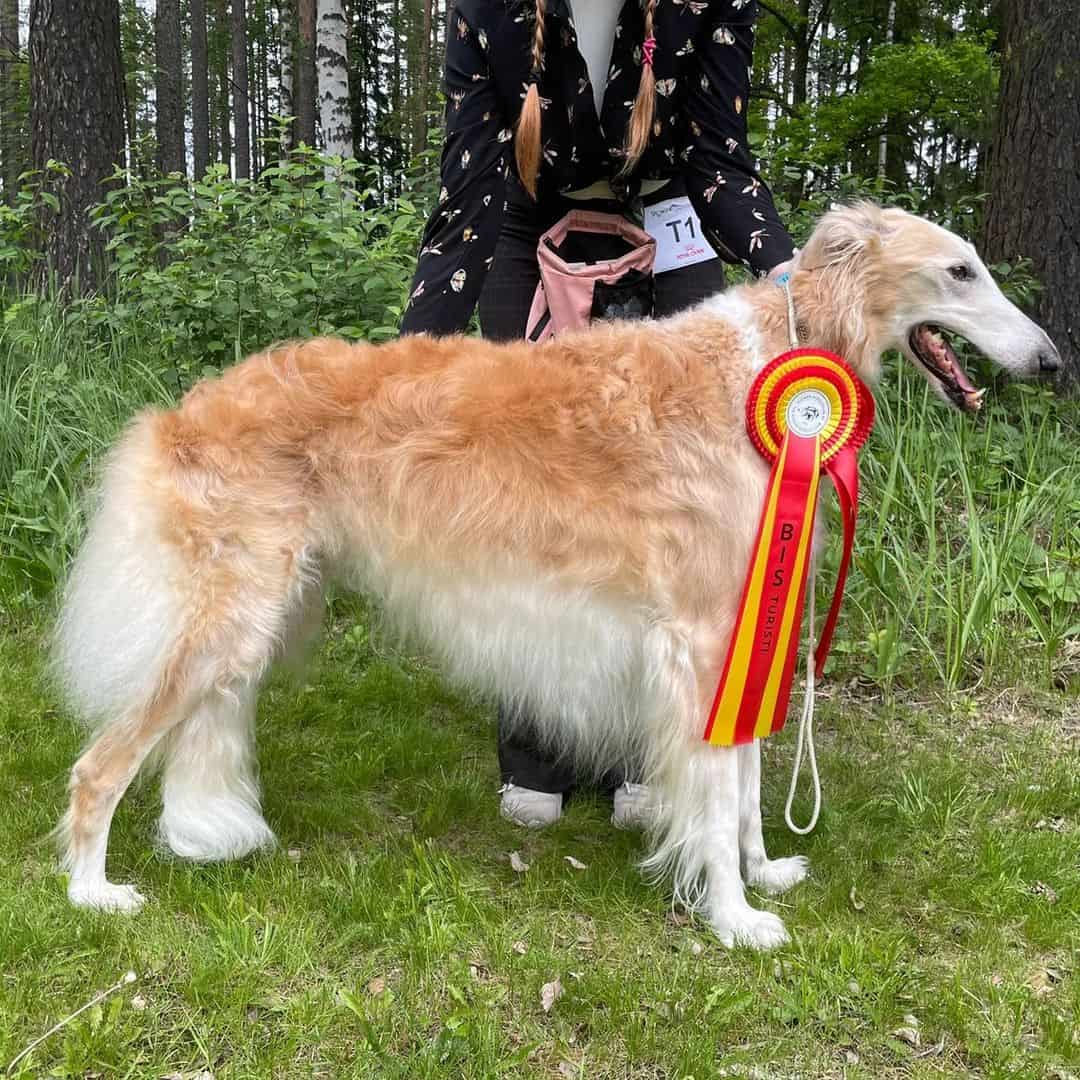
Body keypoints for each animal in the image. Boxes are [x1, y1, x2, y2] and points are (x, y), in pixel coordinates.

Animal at [50, 203, 1054, 946]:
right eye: (961, 271)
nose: (1051, 361)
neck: (763, 370)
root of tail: (182, 410)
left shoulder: (741, 621)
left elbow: (746, 785)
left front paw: (764, 871)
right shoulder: (697, 638)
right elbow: (718, 789)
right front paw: (734, 918)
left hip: (255, 618)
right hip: (229, 615)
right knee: (99, 766)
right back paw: (93, 892)